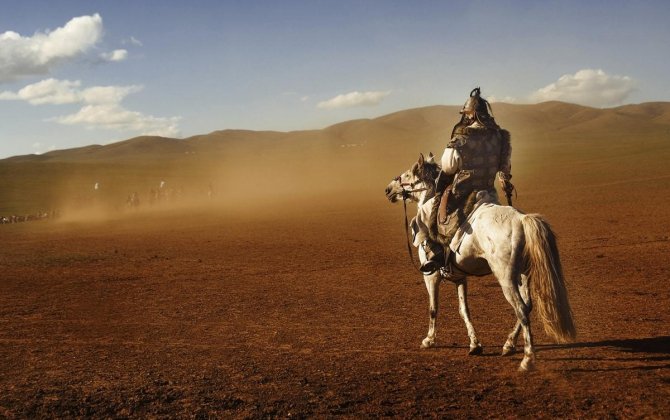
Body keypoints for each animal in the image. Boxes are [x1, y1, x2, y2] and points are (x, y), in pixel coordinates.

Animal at [386, 153, 580, 370]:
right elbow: (464, 310)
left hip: (506, 277)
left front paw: (429, 340)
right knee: (527, 305)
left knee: (521, 309)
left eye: (408, 174)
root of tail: (522, 220)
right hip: (523, 274)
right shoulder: (459, 277)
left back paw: (527, 359)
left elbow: (433, 308)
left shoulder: (431, 276)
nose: (388, 189)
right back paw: (509, 345)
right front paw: (475, 344)